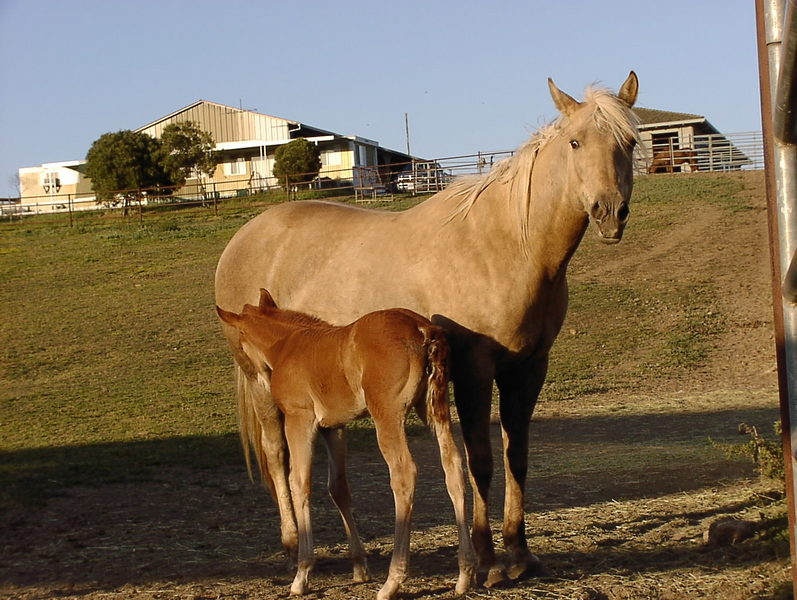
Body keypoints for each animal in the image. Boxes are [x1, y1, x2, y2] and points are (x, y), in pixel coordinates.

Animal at [216, 289, 475, 600]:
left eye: (241, 339)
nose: (260, 379)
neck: (289, 346)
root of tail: (423, 330)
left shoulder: (299, 418)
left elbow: (299, 482)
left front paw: (302, 574)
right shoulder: (334, 427)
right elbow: (338, 488)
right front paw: (359, 566)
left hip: (387, 414)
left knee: (404, 475)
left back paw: (393, 580)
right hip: (435, 410)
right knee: (454, 467)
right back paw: (464, 574)